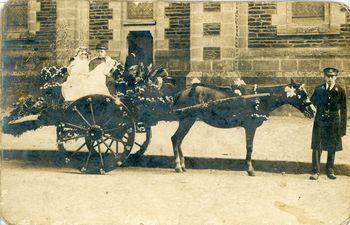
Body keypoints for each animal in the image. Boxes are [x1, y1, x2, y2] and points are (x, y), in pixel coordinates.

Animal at [171, 79, 316, 176]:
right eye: (302, 94)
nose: (313, 111)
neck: (261, 98)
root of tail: (180, 93)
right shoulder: (250, 126)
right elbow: (249, 147)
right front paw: (250, 169)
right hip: (187, 119)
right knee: (175, 139)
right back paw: (177, 165)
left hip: (188, 120)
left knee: (179, 140)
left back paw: (183, 165)